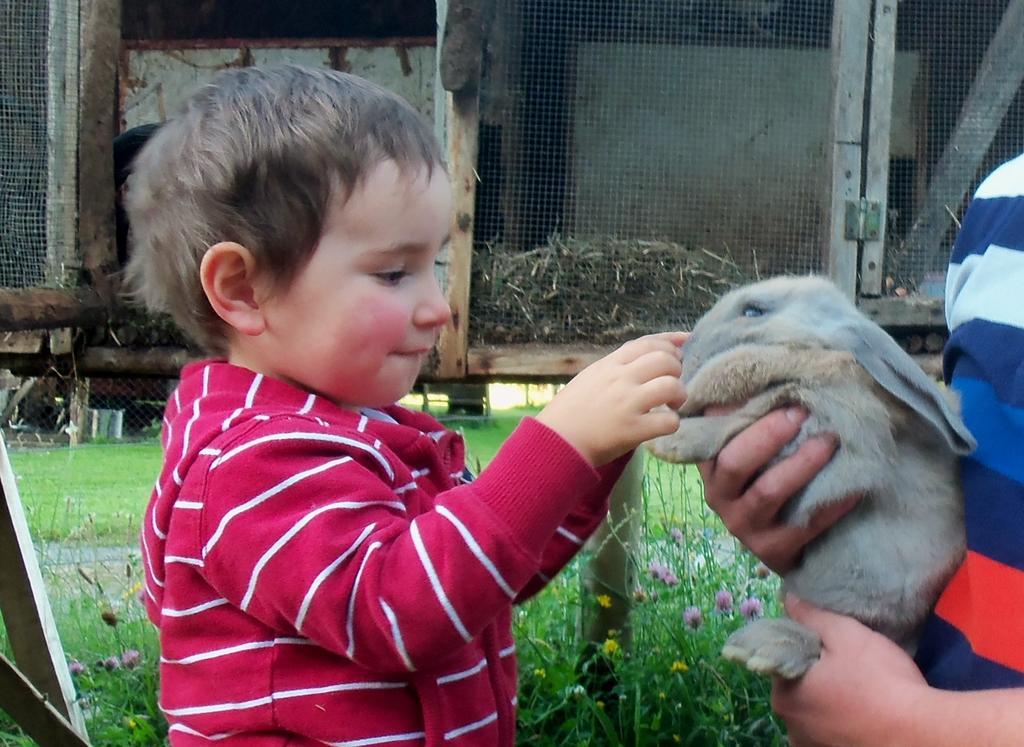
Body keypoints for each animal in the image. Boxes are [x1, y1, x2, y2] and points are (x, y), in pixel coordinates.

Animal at [647, 276, 974, 680]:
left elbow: (749, 414)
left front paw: (671, 439)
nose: (684, 353)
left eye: (753, 311)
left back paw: (762, 648)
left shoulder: (828, 430)